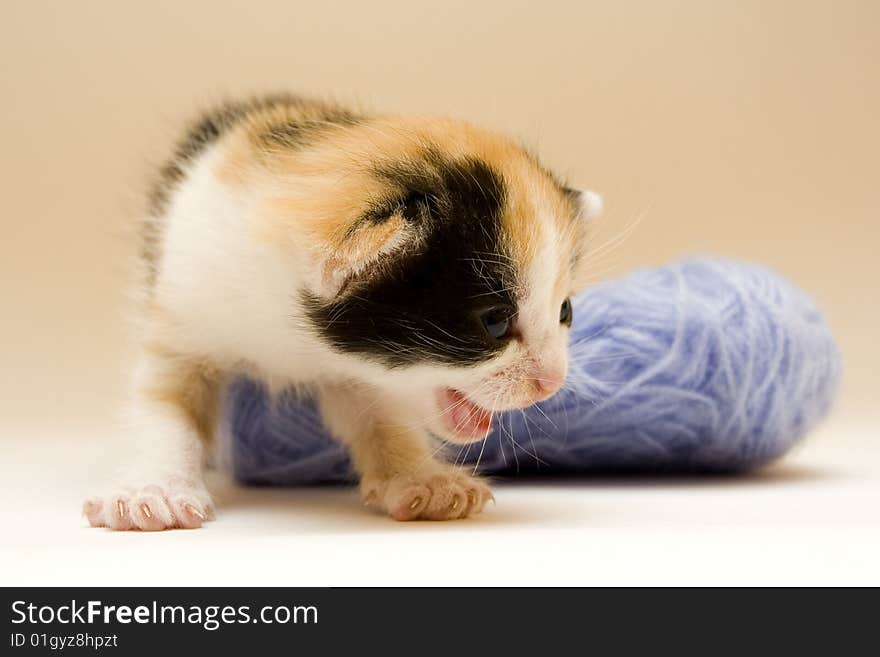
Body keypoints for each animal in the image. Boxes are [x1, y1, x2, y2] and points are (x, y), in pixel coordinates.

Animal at [82, 93, 600, 528]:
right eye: (494, 321)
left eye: (565, 311)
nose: (552, 381)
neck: (291, 338)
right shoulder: (185, 307)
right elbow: (166, 404)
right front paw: (154, 490)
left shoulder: (357, 375)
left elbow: (380, 415)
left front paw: (422, 480)